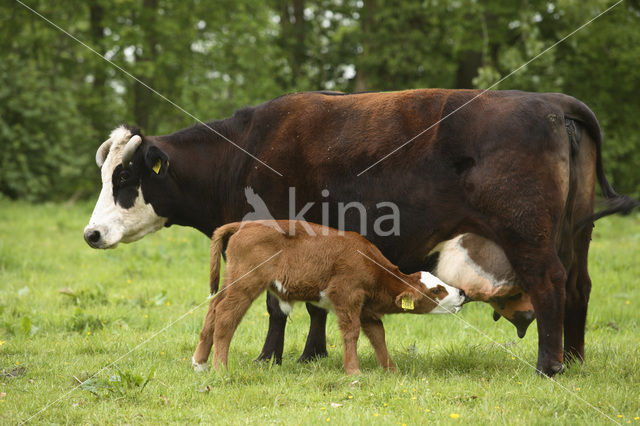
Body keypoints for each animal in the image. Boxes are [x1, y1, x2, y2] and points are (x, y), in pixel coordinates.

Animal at [191, 221, 464, 374]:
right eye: (436, 290)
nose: (461, 292)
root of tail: (245, 225)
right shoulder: (346, 296)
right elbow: (351, 333)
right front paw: (354, 371)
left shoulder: (366, 308)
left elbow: (378, 335)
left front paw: (390, 370)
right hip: (246, 283)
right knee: (226, 316)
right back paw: (221, 368)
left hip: (232, 280)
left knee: (213, 309)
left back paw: (200, 364)